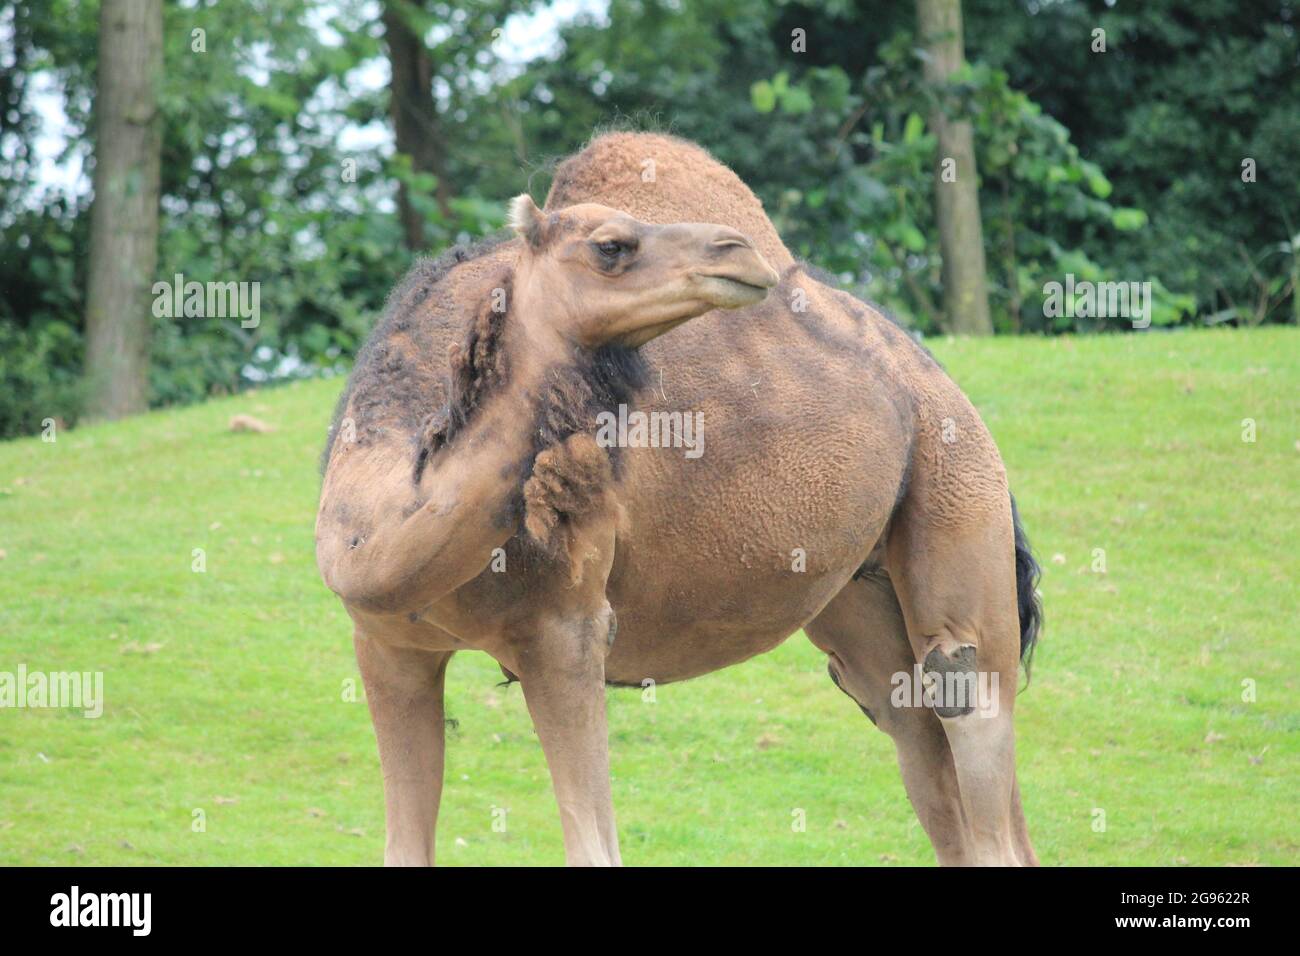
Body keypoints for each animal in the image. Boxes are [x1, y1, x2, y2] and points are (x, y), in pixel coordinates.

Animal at [314, 132, 1045, 868]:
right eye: (611, 246)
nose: (737, 251)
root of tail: (933, 376)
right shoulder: (385, 645)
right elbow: (405, 846)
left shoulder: (565, 628)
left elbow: (593, 847)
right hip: (861, 590)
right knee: (913, 724)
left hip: (957, 483)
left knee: (967, 698)